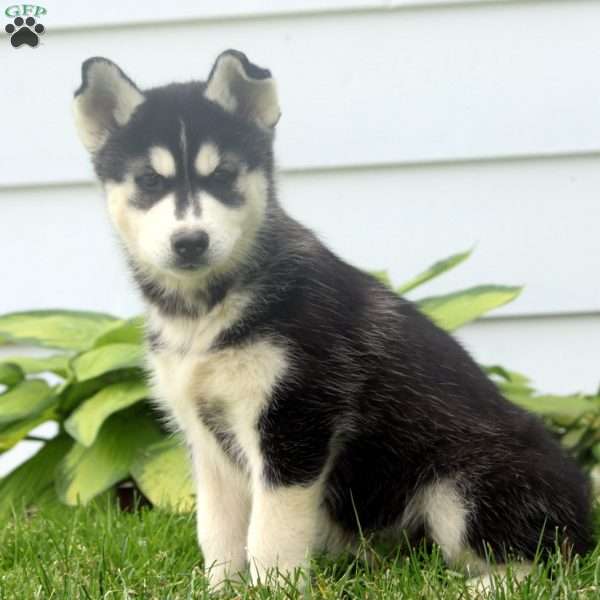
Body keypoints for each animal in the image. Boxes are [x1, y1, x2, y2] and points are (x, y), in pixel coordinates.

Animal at [74, 49, 592, 588]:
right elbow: (217, 534)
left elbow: (270, 536)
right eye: (149, 180)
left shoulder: (295, 423)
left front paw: (272, 590)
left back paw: (479, 587)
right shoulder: (206, 441)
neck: (204, 313)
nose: (190, 241)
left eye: (223, 175)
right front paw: (223, 590)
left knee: (544, 562)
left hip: (460, 486)